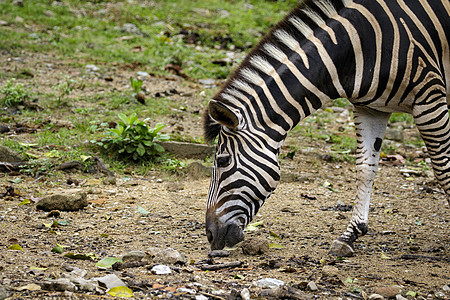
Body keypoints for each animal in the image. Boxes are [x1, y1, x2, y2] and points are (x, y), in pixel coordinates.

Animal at [205, 0, 450, 256]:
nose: (210, 235)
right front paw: (350, 235)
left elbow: (443, 170)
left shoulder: (429, 99)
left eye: (222, 161)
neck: (356, 46)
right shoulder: (371, 109)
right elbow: (365, 169)